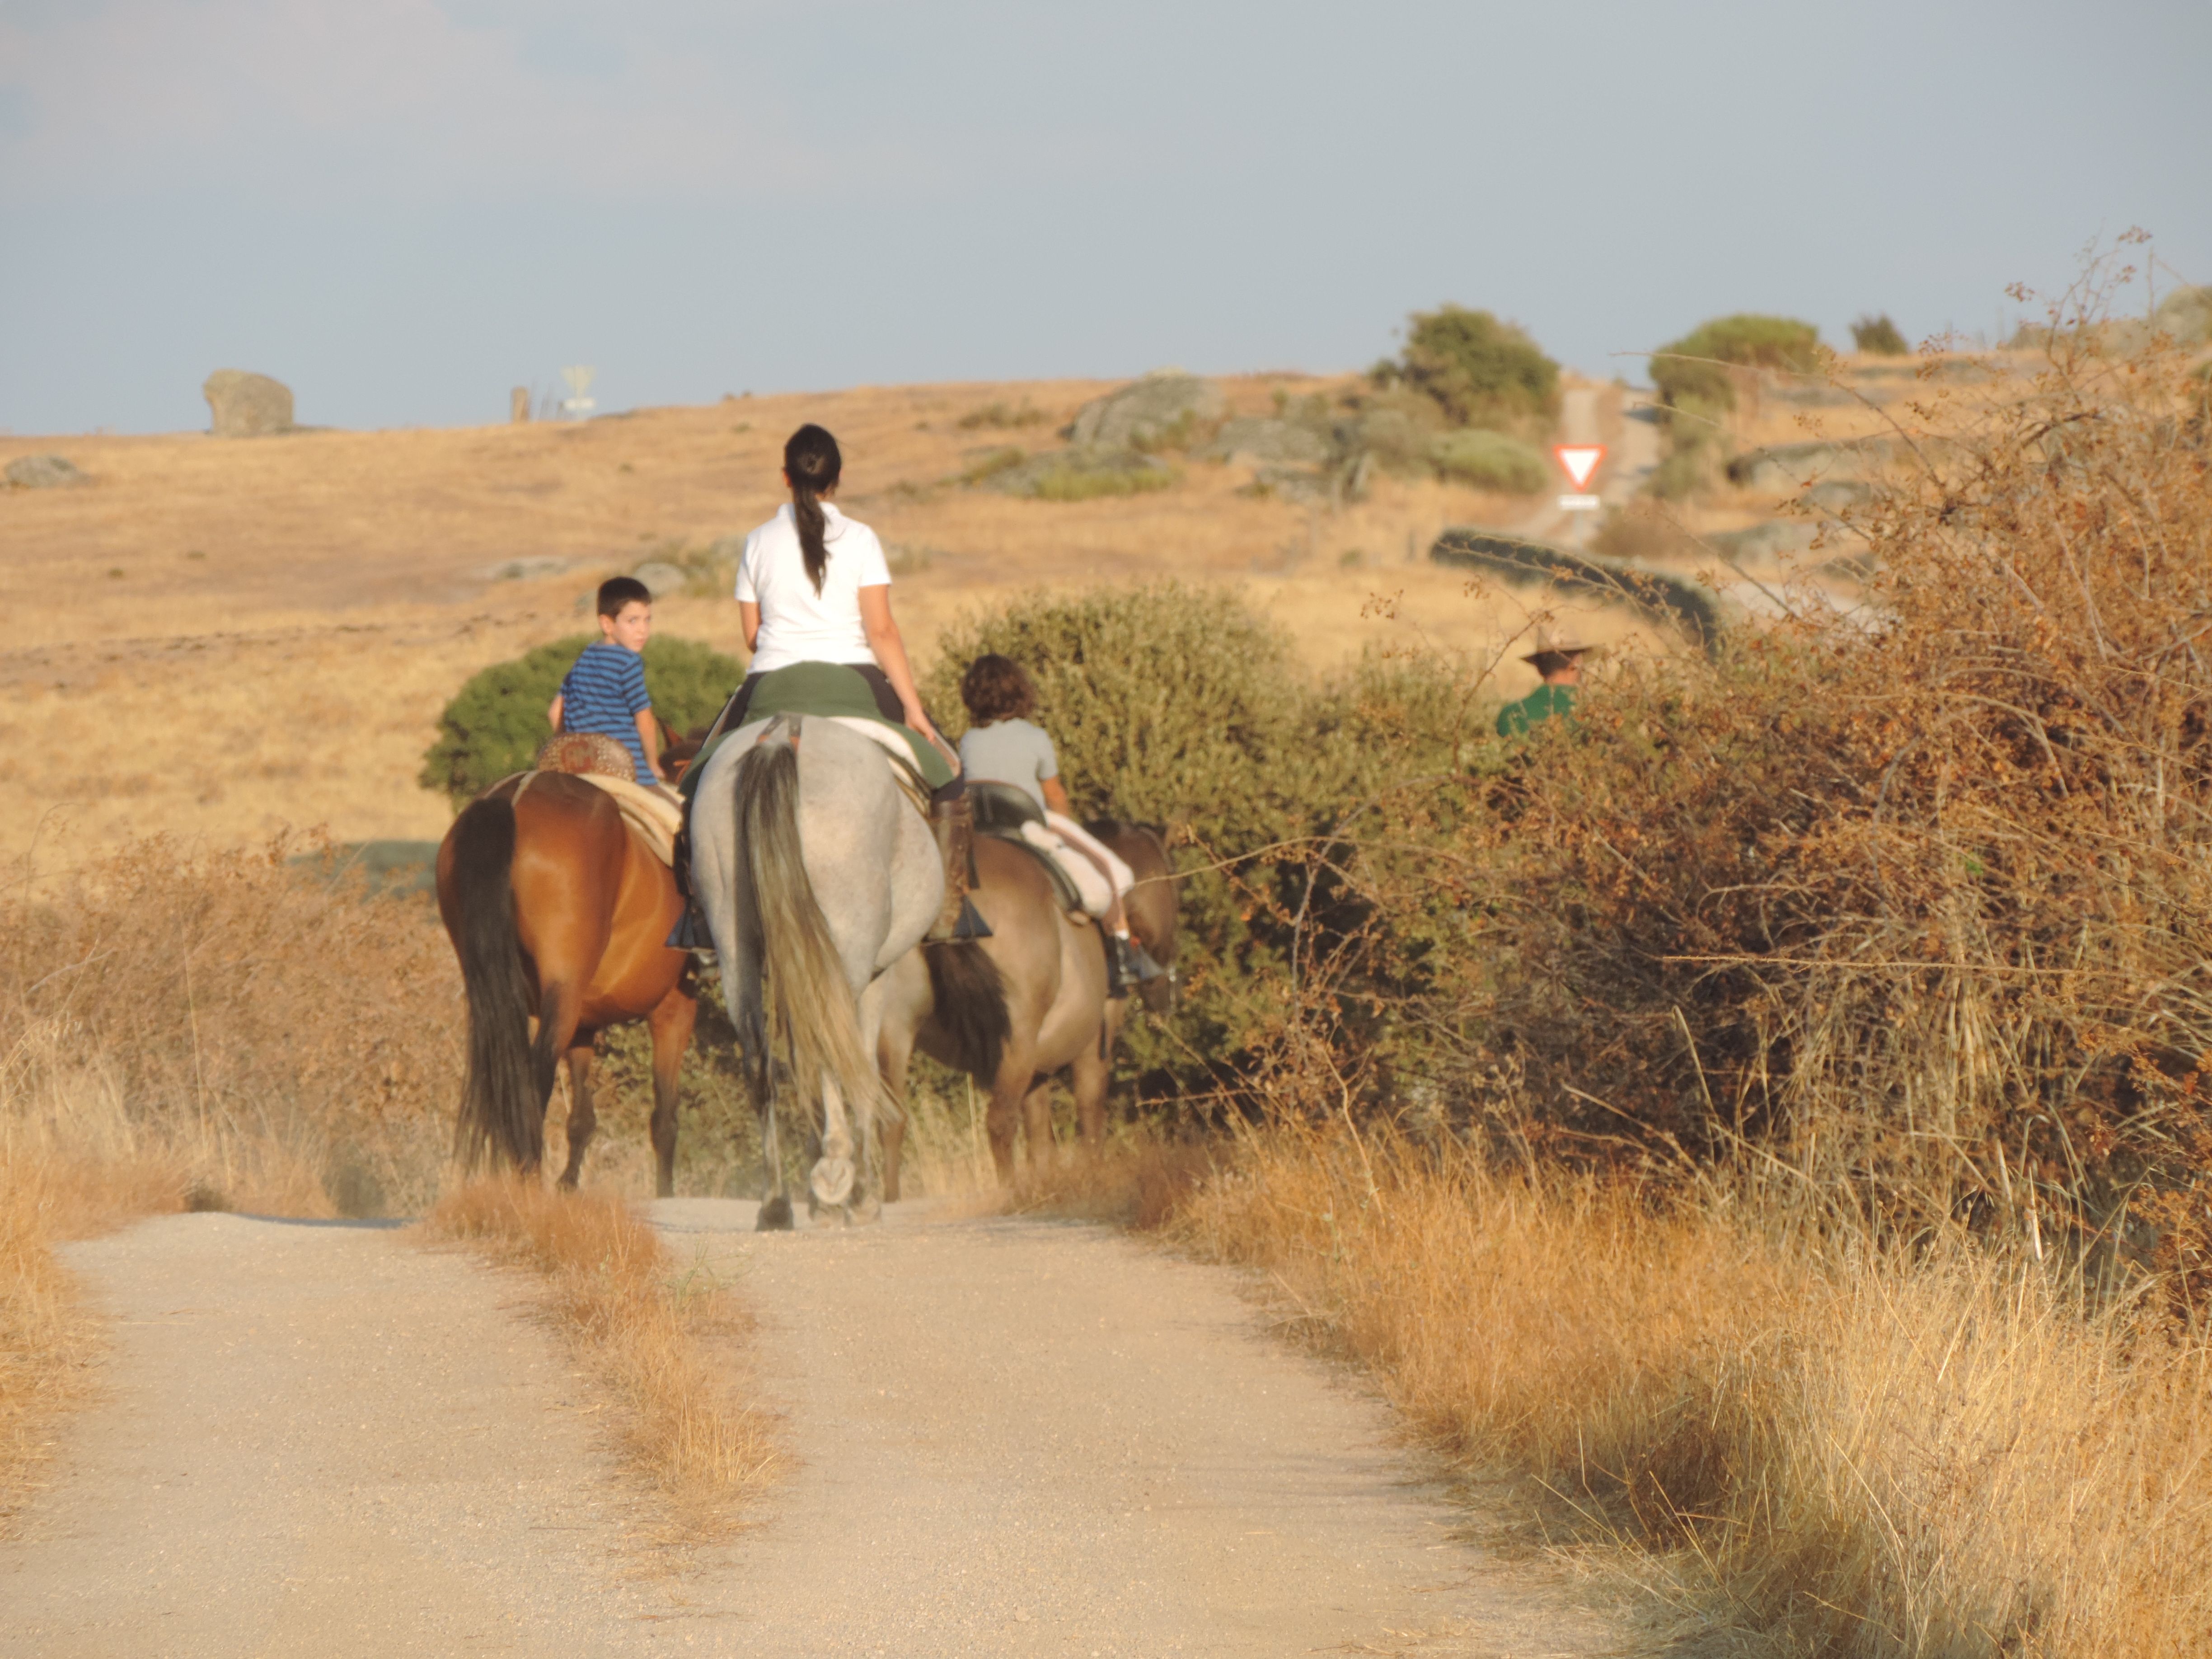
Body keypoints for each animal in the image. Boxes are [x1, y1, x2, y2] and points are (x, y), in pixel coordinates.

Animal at [436, 774, 694, 1203]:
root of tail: (513, 798)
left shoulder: (584, 1027)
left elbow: (581, 1118)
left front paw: (569, 1186)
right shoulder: (673, 1012)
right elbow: (665, 1119)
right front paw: (666, 1194)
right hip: (565, 997)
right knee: (533, 1075)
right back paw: (528, 1176)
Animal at [876, 823, 1186, 1194]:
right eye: (1174, 886)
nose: (1168, 994)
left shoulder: (1037, 1071)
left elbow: (1039, 1138)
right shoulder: (1091, 1050)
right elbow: (1090, 1116)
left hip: (895, 1033)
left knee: (892, 1124)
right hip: (1015, 1042)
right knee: (999, 1122)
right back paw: (1010, 1194)